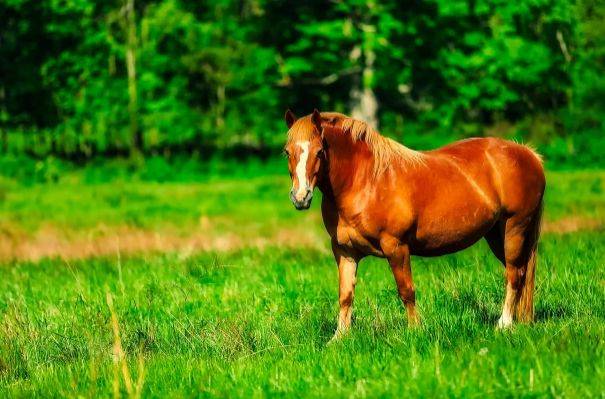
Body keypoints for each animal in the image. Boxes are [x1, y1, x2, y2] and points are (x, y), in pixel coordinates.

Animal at [282, 108, 544, 340]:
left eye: (319, 151)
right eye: (287, 152)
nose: (300, 197)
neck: (365, 181)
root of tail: (528, 154)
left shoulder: (396, 247)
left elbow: (406, 290)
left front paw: (414, 331)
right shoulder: (345, 251)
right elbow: (345, 294)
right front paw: (339, 338)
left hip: (515, 228)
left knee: (514, 274)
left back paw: (504, 324)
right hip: (496, 235)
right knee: (520, 274)